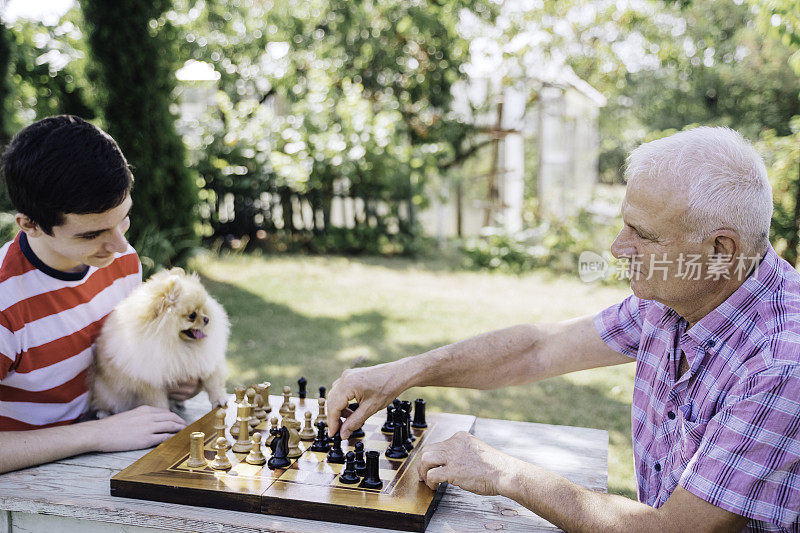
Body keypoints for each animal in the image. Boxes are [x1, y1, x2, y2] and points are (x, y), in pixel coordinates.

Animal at [91, 266, 230, 416]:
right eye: (192, 315)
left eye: (203, 309)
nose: (206, 319)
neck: (177, 344)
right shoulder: (150, 380)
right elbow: (158, 402)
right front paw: (164, 415)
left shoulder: (206, 360)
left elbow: (213, 382)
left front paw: (219, 399)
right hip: (105, 391)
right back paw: (103, 412)